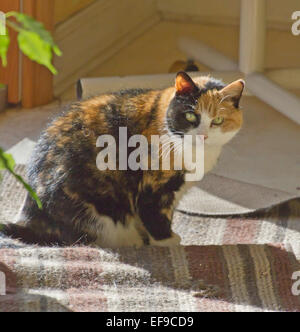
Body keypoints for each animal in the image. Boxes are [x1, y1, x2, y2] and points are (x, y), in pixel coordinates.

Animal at [1, 73, 244, 249]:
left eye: (218, 120)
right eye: (191, 115)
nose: (203, 135)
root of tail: (30, 218)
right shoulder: (154, 188)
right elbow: (156, 217)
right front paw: (168, 242)